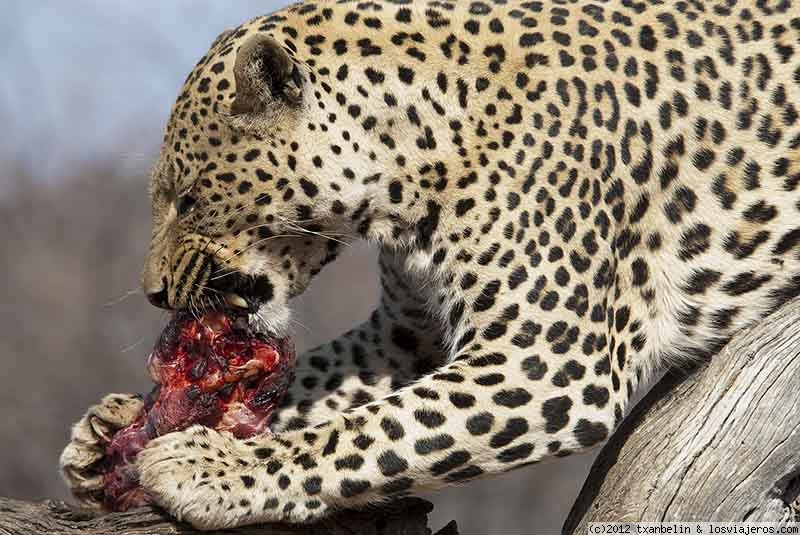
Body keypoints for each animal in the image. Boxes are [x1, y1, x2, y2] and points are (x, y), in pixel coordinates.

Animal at [60, 0, 800, 529]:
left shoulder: (548, 361)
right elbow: (314, 383)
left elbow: (367, 434)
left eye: (187, 199)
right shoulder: (403, 333)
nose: (154, 294)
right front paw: (112, 429)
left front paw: (207, 467)